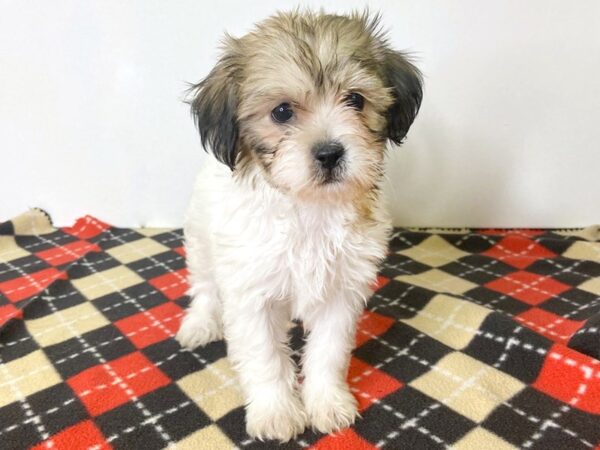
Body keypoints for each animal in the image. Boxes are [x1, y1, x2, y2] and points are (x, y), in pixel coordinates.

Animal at [176, 8, 424, 442]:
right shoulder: (251, 293)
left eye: (355, 100)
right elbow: (264, 356)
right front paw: (276, 411)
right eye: (281, 112)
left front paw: (327, 402)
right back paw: (201, 322)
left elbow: (328, 351)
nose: (329, 153)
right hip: (202, 241)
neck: (310, 207)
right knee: (205, 286)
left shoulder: (343, 291)